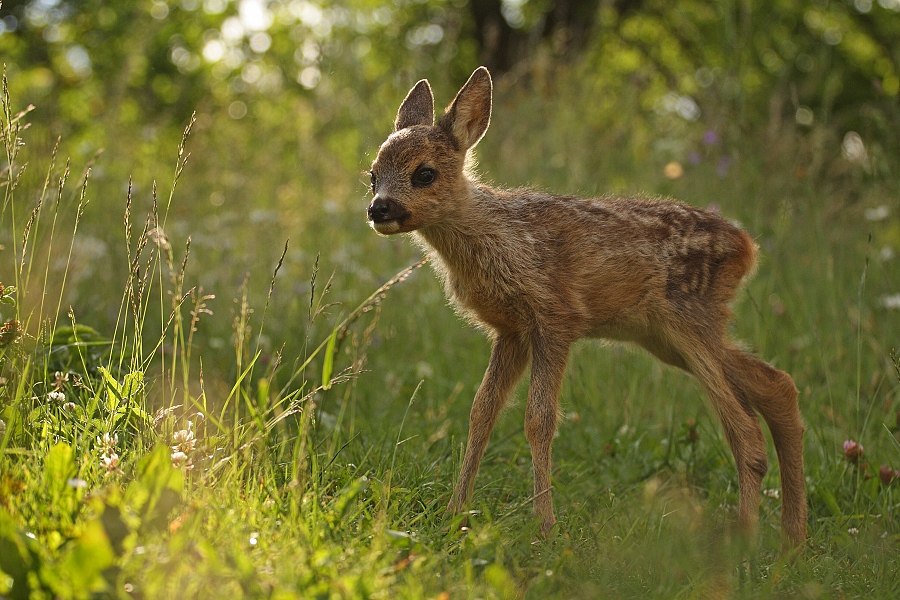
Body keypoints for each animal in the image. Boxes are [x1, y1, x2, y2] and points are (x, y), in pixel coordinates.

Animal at [365, 66, 807, 548]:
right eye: (372, 174)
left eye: (424, 174)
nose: (378, 208)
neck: (498, 237)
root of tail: (748, 247)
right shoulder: (511, 330)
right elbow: (481, 412)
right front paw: (454, 514)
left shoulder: (556, 315)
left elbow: (539, 419)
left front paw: (545, 527)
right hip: (665, 336)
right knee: (776, 384)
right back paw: (792, 541)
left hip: (689, 319)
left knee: (745, 428)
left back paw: (747, 538)